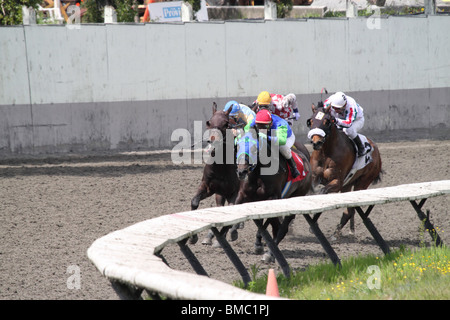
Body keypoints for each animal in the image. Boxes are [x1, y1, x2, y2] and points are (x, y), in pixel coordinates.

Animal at [191, 102, 243, 245]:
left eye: (226, 124)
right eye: (209, 122)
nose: (212, 140)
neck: (220, 166)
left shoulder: (234, 192)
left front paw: (224, 237)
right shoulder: (208, 187)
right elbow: (194, 202)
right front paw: (193, 238)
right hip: (220, 194)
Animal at [234, 131, 312, 262]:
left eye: (255, 149)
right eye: (238, 146)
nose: (241, 172)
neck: (259, 173)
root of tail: (306, 160)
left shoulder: (273, 198)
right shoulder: (244, 195)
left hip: (296, 195)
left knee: (282, 229)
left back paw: (269, 254)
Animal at [306, 104, 384, 239]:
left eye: (326, 121)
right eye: (310, 121)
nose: (316, 142)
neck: (326, 152)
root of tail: (376, 151)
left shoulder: (337, 182)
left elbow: (322, 192)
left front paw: (313, 224)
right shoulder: (315, 178)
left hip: (362, 183)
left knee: (350, 210)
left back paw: (336, 234)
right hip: (347, 185)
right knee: (349, 210)